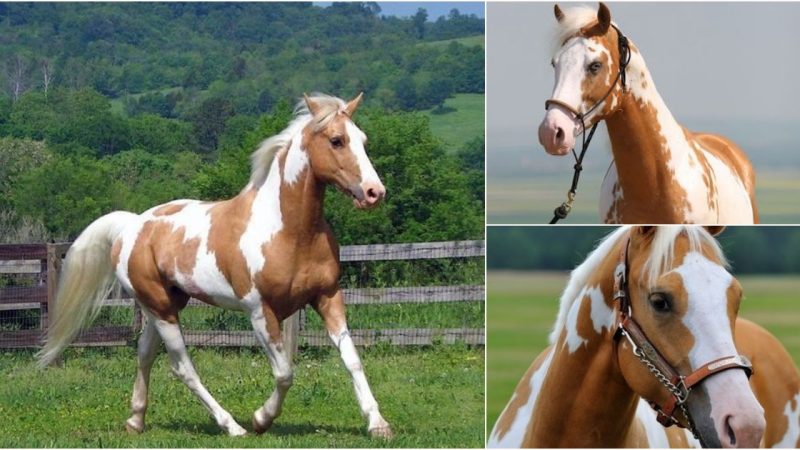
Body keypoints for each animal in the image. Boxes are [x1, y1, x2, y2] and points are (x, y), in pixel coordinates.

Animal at [37, 93, 394, 438]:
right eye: (336, 140)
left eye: (363, 139)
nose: (374, 192)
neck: (289, 231)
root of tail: (132, 226)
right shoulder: (260, 312)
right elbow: (284, 372)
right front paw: (261, 419)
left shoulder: (328, 297)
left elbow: (352, 360)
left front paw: (378, 425)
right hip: (161, 309)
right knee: (182, 368)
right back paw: (232, 426)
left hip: (164, 305)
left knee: (144, 353)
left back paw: (136, 421)